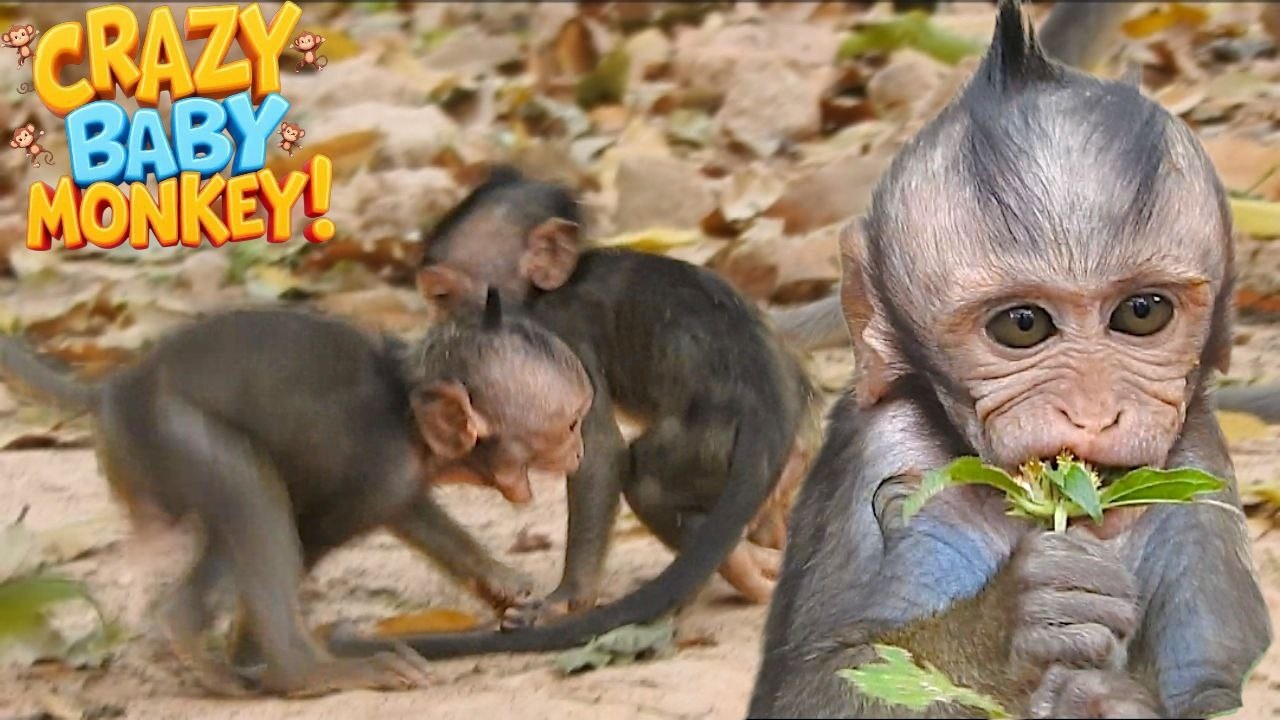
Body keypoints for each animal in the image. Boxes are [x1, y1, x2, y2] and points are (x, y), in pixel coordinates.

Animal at [0, 293, 593, 698]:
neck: (408, 408)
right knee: (249, 491)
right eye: (568, 426)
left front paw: (501, 584)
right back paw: (300, 669)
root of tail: (115, 389)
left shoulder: (399, 476)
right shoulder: (382, 469)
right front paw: (258, 653)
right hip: (169, 433)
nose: (580, 451)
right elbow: (312, 534)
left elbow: (410, 513)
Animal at [328, 167, 821, 660]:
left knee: (646, 481)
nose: (438, 329)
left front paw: (567, 600)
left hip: (707, 445)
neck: (551, 289)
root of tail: (769, 414)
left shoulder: (559, 330)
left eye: (443, 295)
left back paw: (742, 567)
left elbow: (599, 451)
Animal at [748, 2, 1271, 718]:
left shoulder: (1199, 470)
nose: (1093, 413)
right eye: (1022, 326)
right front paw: (1008, 626)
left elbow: (1214, 689)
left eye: (1142, 313)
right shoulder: (879, 449)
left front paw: (1106, 695)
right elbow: (816, 685)